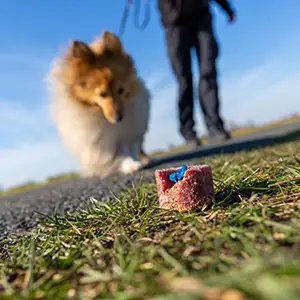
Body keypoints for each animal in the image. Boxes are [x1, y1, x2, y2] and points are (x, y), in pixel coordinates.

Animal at [46, 31, 151, 179]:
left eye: (121, 90)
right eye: (102, 94)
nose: (119, 118)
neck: (99, 114)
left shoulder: (131, 129)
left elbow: (132, 146)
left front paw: (135, 161)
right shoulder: (102, 143)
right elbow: (120, 153)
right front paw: (130, 165)